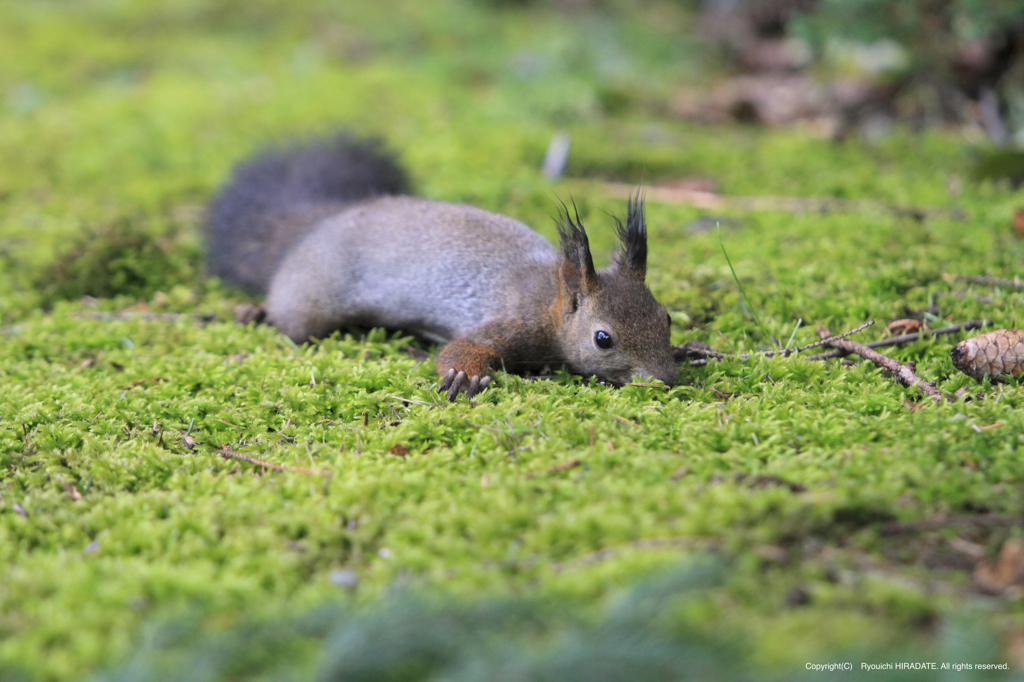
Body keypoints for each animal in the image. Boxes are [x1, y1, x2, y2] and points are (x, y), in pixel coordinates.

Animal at [205, 132, 679, 399]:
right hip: (309, 300)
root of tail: (318, 223)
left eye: (667, 318)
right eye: (603, 339)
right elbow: (461, 347)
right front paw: (463, 377)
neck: (551, 298)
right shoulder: (516, 323)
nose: (668, 379)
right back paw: (255, 312)